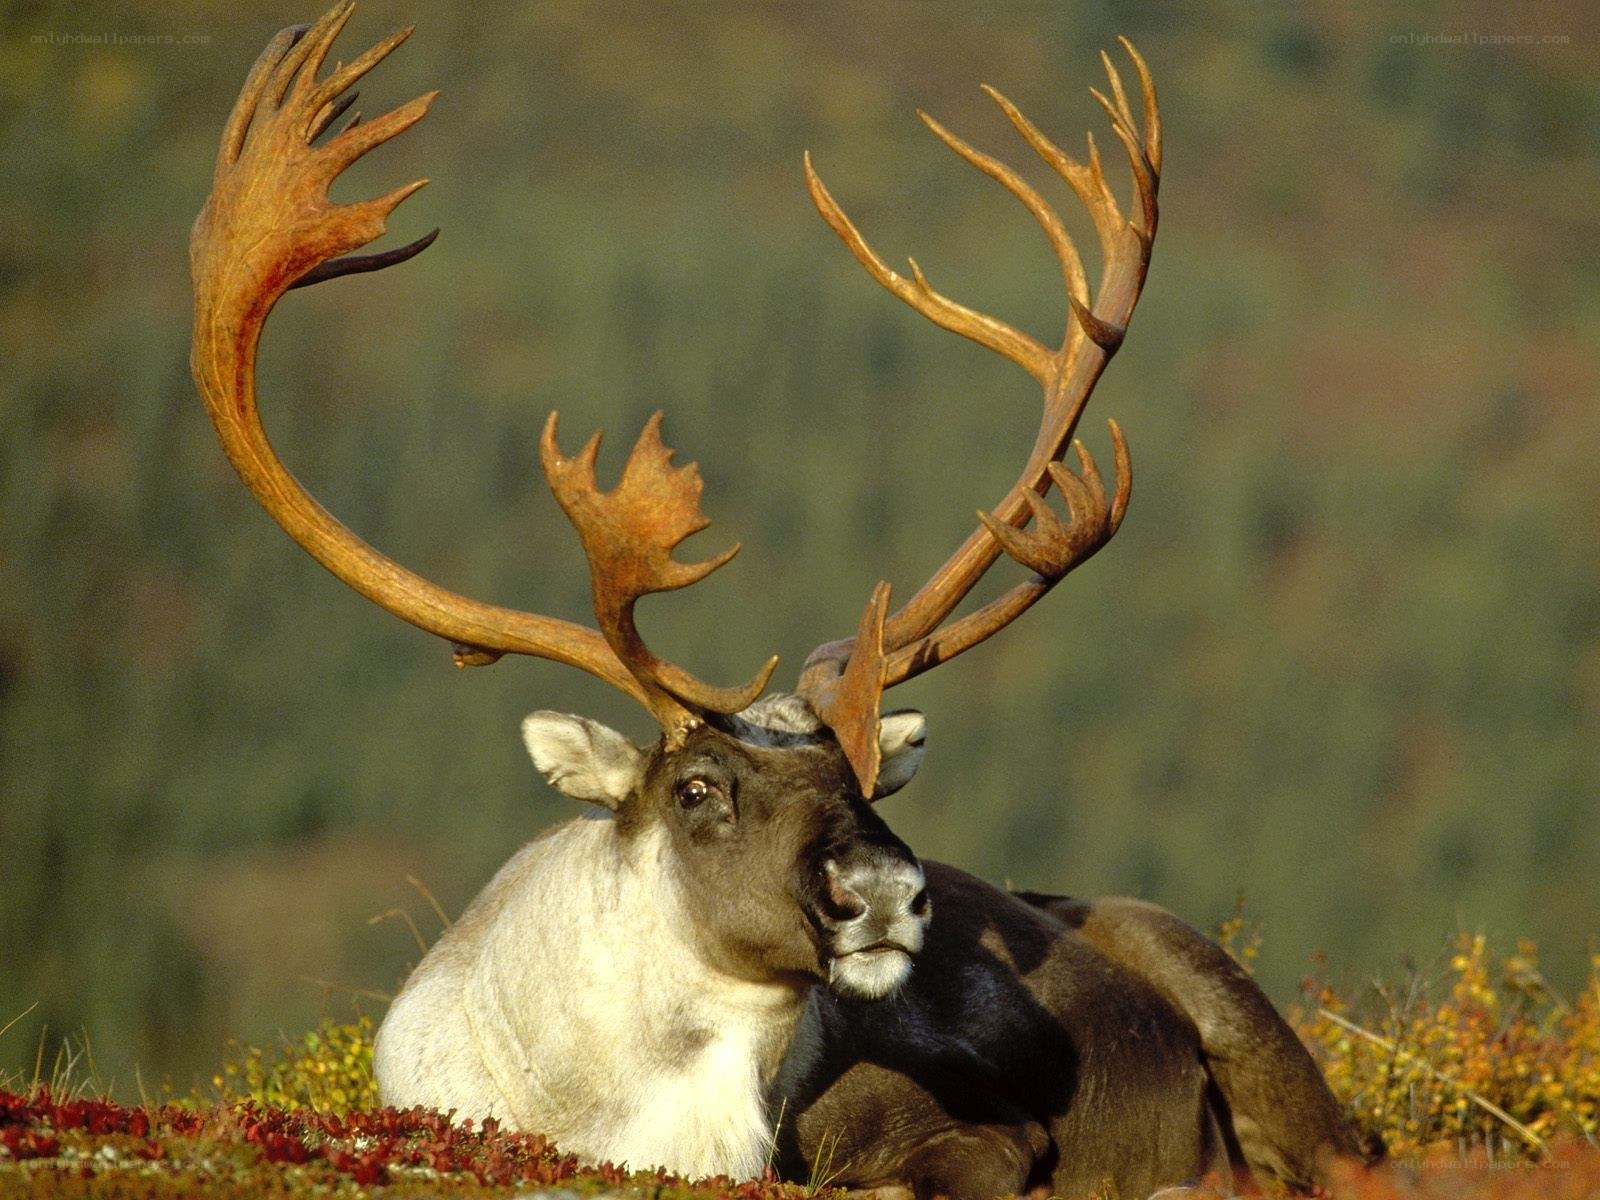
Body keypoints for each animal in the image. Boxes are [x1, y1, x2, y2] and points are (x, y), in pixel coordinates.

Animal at [189, 6, 1366, 1198]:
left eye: (862, 777)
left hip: (1233, 999)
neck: (631, 1117)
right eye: (697, 788)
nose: (885, 892)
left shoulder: (988, 1134)